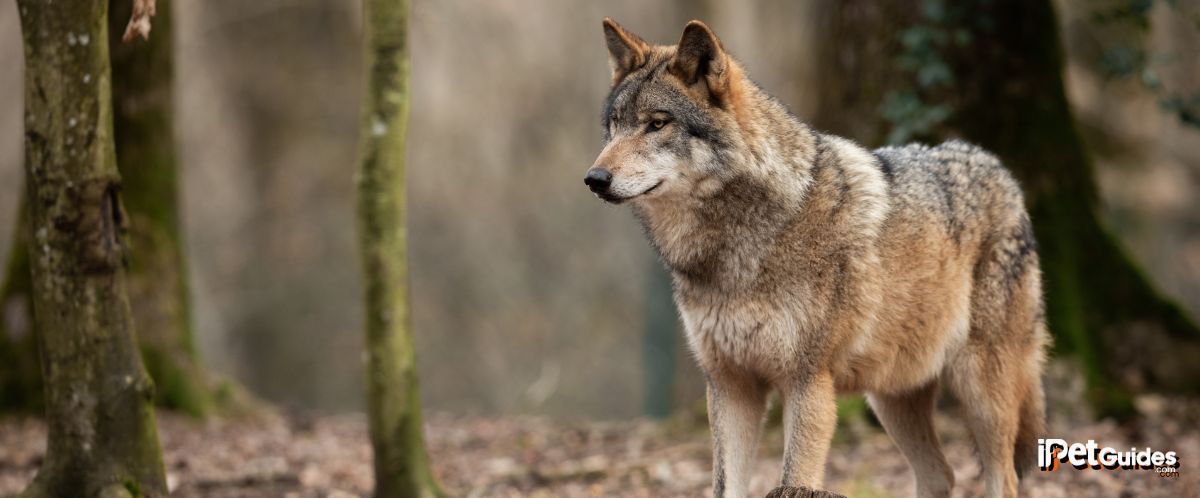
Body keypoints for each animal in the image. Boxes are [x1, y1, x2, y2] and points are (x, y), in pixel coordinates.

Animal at [586, 18, 1050, 498]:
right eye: (615, 125)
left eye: (657, 124)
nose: (594, 178)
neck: (737, 249)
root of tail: (999, 167)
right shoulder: (730, 386)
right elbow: (725, 485)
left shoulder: (808, 382)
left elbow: (796, 474)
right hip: (891, 398)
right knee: (941, 474)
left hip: (981, 390)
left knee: (1003, 477)